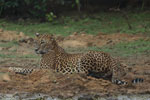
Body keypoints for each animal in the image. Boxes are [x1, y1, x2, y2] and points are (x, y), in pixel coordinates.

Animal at [9, 33, 143, 85]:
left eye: (42, 42)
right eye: (35, 42)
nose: (35, 49)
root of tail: (112, 57)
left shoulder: (45, 70)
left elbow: (26, 69)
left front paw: (11, 67)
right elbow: (27, 68)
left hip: (86, 56)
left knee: (84, 73)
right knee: (99, 74)